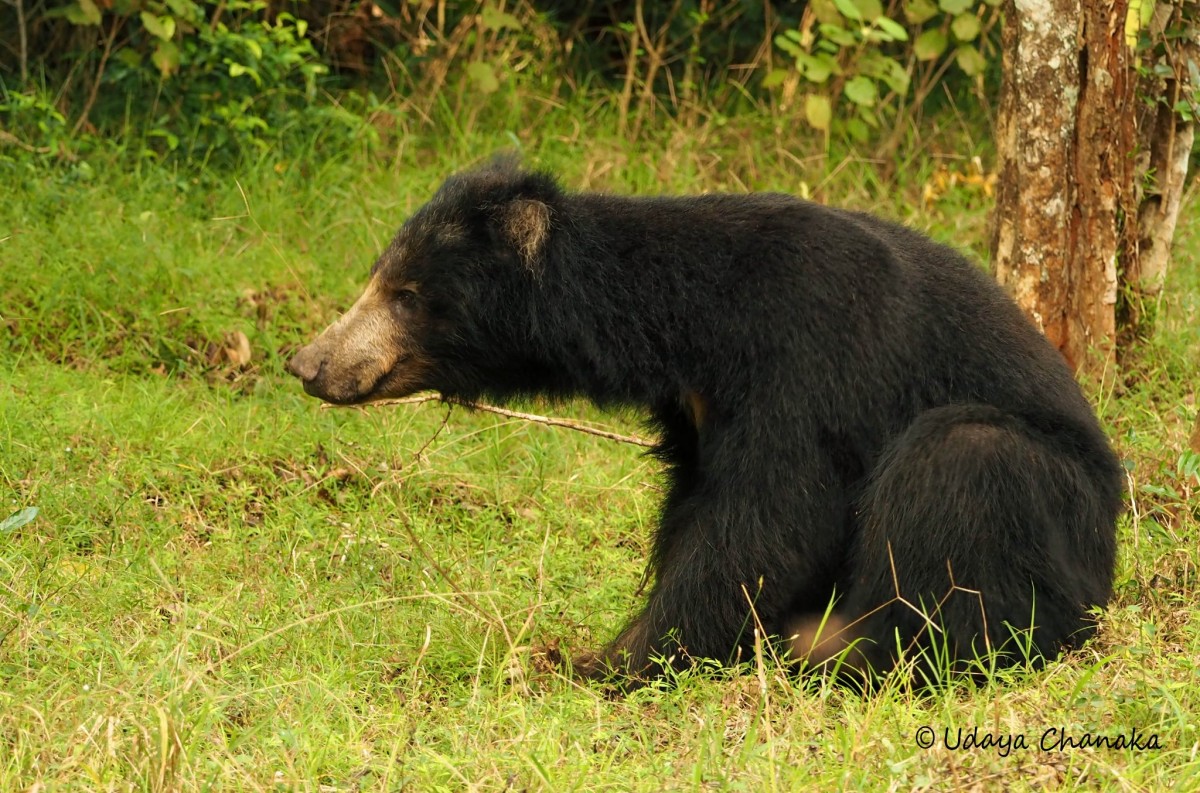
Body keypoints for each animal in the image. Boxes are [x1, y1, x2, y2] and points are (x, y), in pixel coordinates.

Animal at [290, 157, 1123, 681]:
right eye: (379, 278)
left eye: (405, 294)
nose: (309, 363)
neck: (691, 324)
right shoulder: (697, 405)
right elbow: (701, 508)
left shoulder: (811, 348)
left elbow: (773, 518)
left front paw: (597, 662)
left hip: (1054, 505)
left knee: (963, 462)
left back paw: (845, 653)